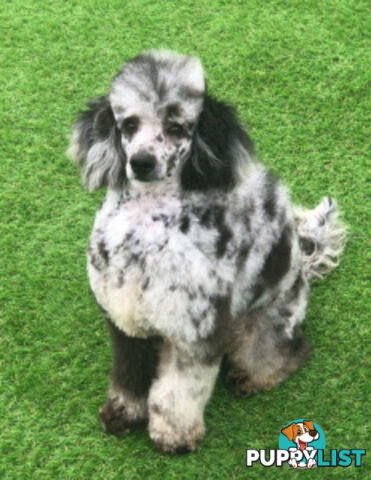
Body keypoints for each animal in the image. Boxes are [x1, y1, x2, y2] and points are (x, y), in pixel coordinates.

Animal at [67, 48, 346, 454]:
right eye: (128, 124)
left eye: (176, 128)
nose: (142, 162)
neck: (148, 230)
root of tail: (302, 272)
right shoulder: (125, 320)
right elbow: (127, 376)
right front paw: (121, 415)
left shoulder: (195, 330)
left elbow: (177, 393)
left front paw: (173, 437)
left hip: (259, 325)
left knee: (288, 352)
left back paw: (254, 379)